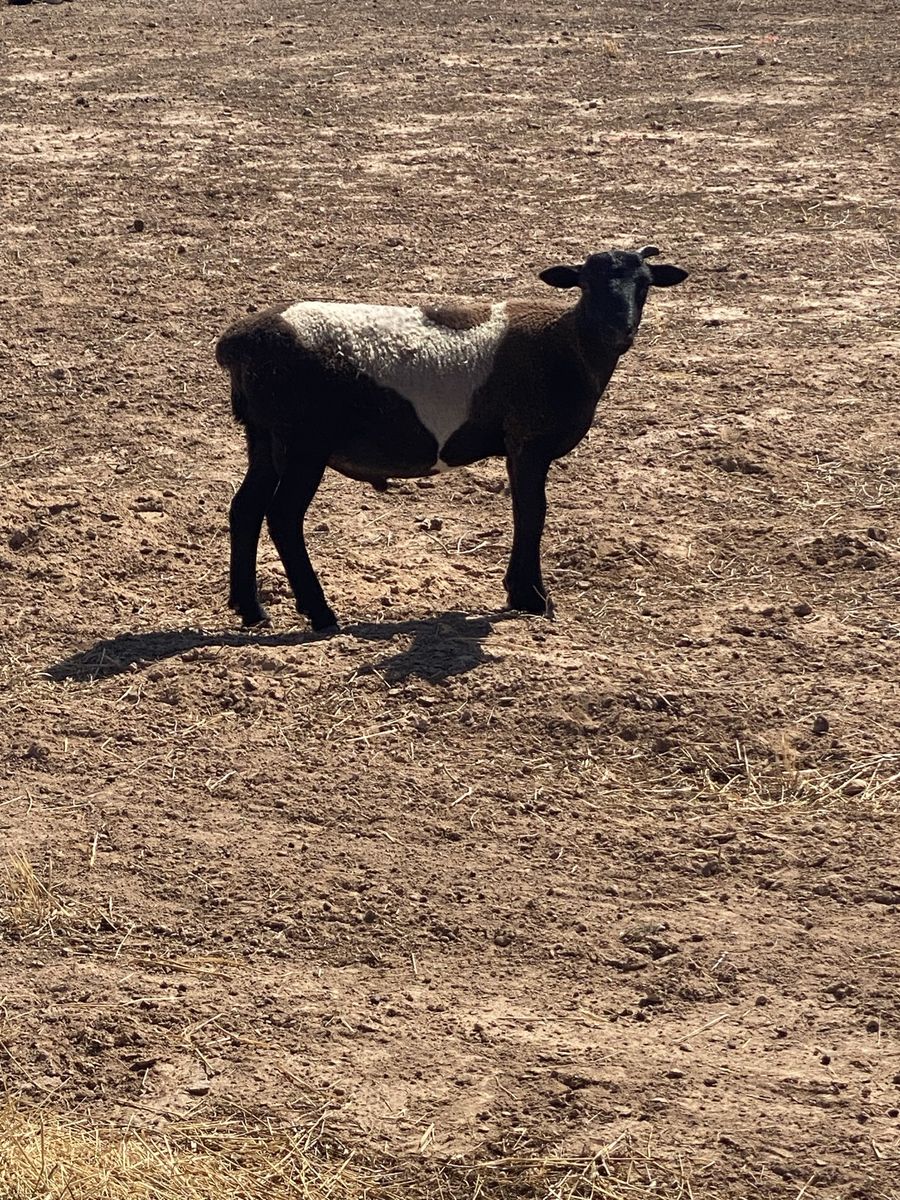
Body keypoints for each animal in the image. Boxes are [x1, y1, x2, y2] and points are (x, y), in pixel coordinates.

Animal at [215, 245, 688, 630]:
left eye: (644, 284)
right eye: (587, 283)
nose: (620, 329)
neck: (566, 343)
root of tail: (236, 344)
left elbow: (525, 512)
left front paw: (521, 592)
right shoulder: (528, 441)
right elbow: (532, 513)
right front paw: (533, 598)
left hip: (264, 437)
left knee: (245, 508)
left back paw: (251, 609)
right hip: (303, 442)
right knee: (282, 517)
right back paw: (320, 613)